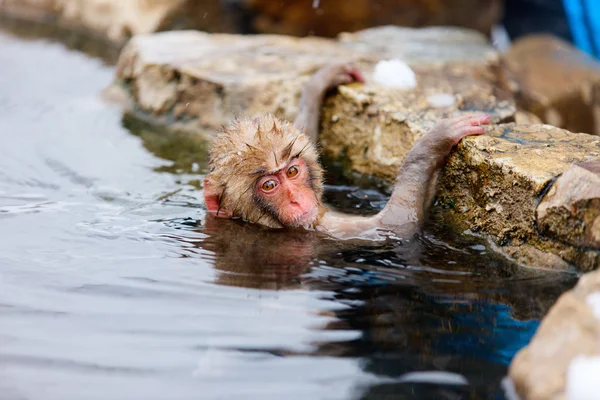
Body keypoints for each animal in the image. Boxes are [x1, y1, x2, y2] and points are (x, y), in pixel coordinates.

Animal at [203, 62, 492, 238]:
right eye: (269, 185)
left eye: (292, 171)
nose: (296, 199)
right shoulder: (321, 226)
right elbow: (396, 223)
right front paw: (432, 143)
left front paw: (319, 82)